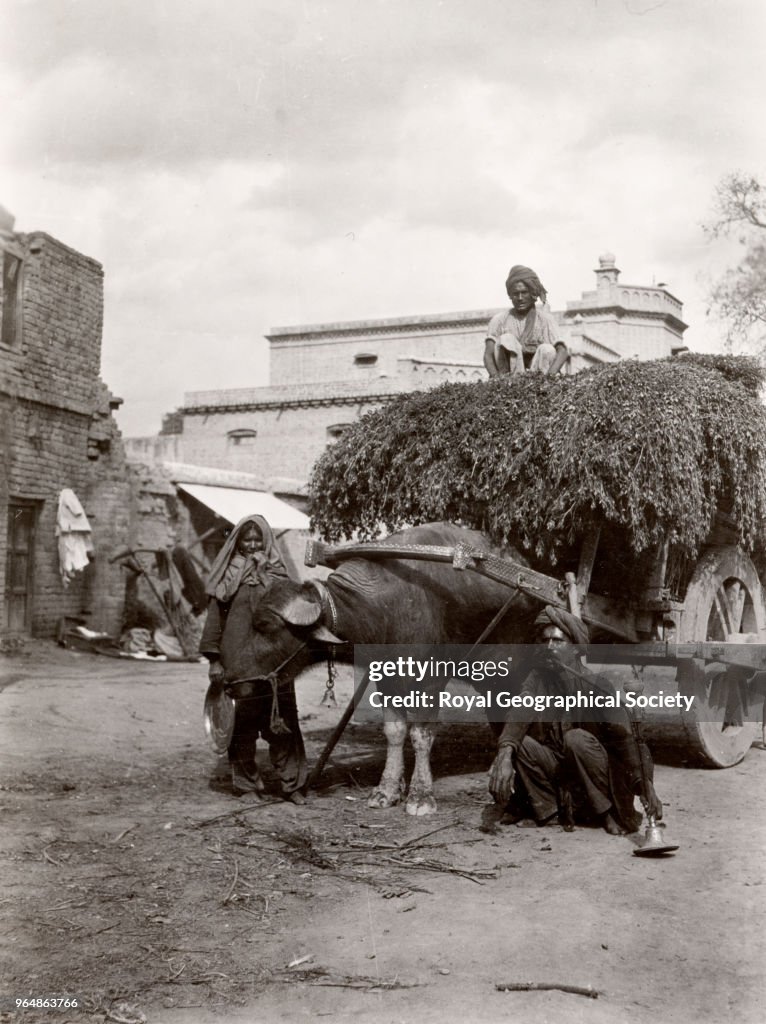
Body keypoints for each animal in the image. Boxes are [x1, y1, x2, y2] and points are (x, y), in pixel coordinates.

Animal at [248, 524, 536, 811]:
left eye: (265, 625)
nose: (239, 680)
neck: (386, 606)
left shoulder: (431, 679)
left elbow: (421, 734)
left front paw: (420, 796)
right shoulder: (387, 678)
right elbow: (394, 731)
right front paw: (386, 790)